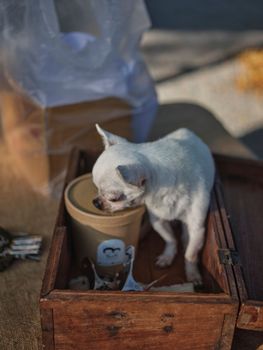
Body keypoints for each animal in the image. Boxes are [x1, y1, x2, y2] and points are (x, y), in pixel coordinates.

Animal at [92, 124, 216, 284]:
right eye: (96, 189)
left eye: (114, 198)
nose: (96, 202)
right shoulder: (158, 221)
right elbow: (170, 239)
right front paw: (167, 257)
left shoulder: (197, 229)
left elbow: (190, 254)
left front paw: (192, 274)